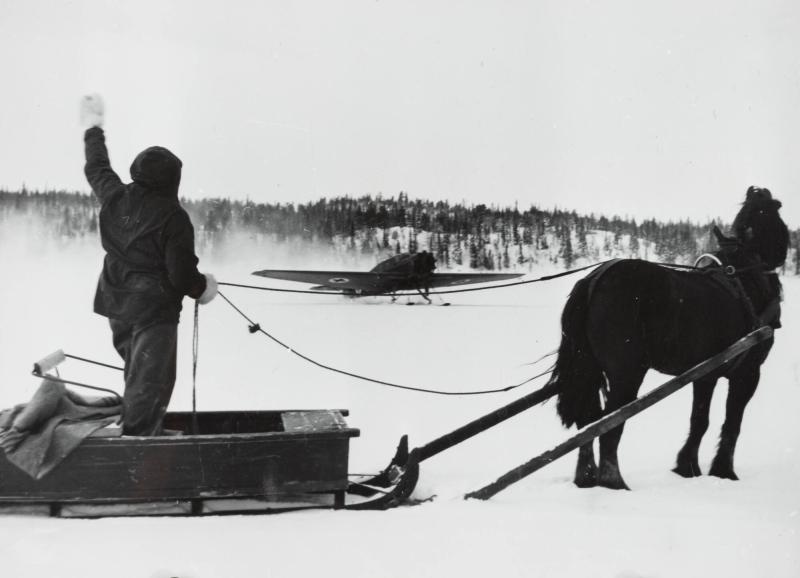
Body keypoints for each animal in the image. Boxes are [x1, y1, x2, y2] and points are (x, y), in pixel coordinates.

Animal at [552, 188, 788, 486]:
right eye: (775, 208)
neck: (746, 279)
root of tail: (595, 279)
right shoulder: (748, 372)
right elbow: (732, 423)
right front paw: (724, 471)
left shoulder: (706, 374)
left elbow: (700, 421)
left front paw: (687, 467)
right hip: (627, 372)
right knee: (609, 424)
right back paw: (613, 482)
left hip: (589, 368)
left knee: (588, 421)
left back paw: (586, 477)